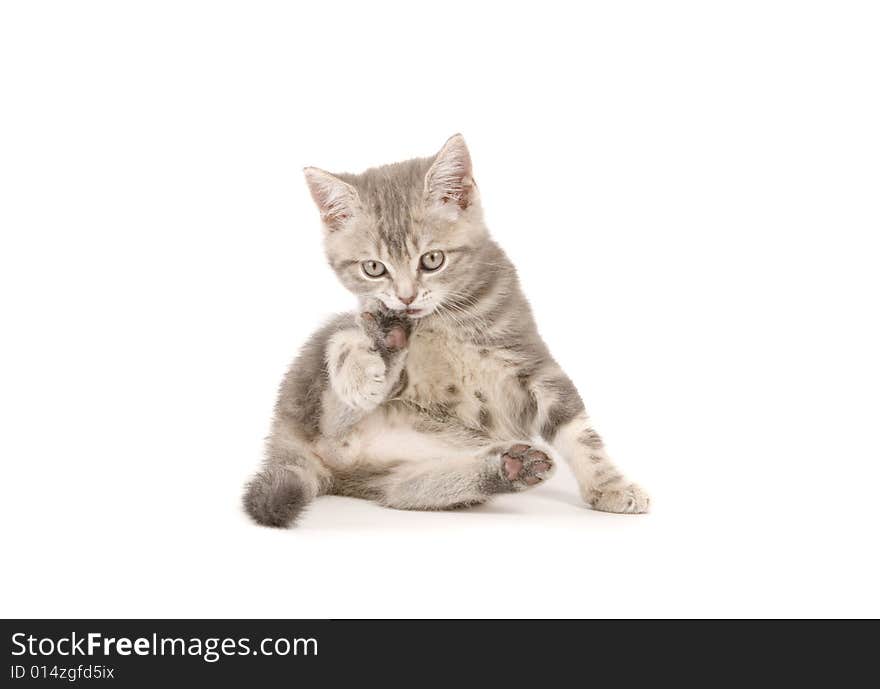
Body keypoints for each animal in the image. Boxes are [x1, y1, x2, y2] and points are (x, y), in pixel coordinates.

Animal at [244, 132, 648, 524]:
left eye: (432, 260)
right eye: (374, 268)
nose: (405, 298)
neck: (445, 319)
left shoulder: (531, 360)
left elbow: (578, 431)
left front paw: (610, 486)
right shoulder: (387, 348)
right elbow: (348, 344)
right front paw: (360, 373)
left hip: (389, 474)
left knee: (413, 487)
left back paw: (511, 467)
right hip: (321, 376)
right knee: (332, 415)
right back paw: (385, 346)